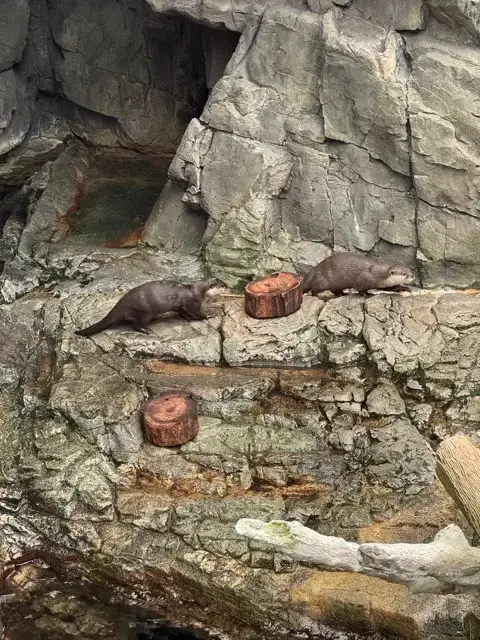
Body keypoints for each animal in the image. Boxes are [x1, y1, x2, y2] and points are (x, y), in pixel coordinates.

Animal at [75, 277, 228, 337]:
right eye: (222, 285)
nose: (228, 286)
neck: (197, 291)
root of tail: (122, 303)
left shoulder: (181, 306)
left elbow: (182, 312)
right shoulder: (192, 302)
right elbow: (197, 313)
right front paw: (210, 313)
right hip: (142, 311)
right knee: (135, 324)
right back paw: (147, 330)